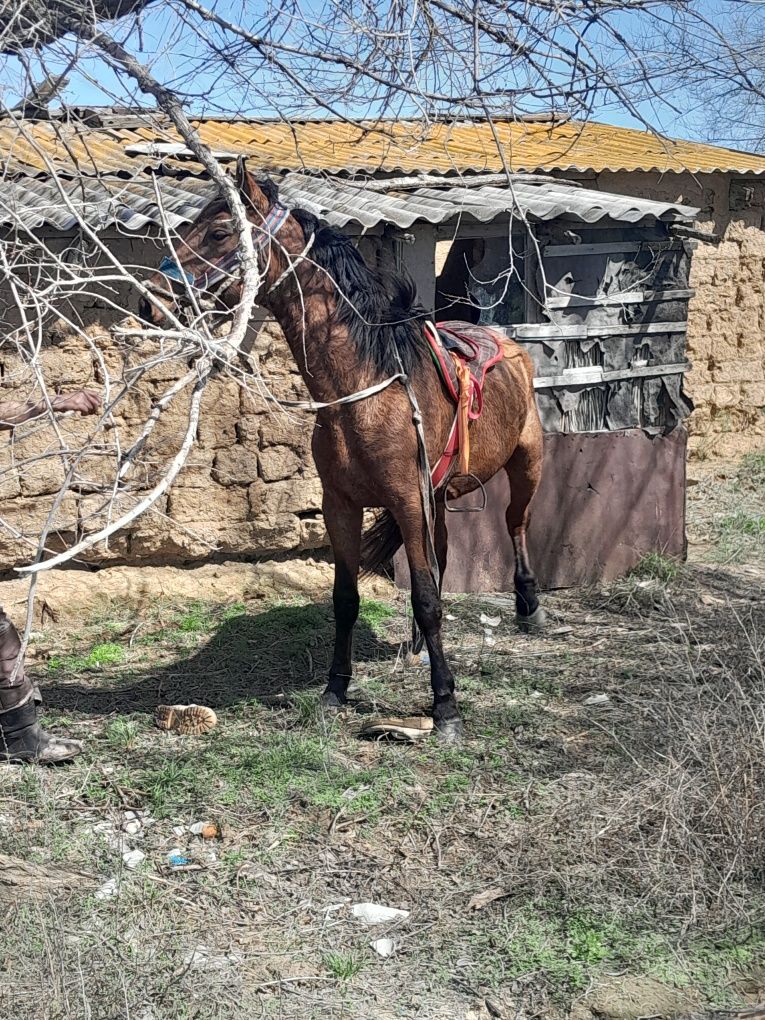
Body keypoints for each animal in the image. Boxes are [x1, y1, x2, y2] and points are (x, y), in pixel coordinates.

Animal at [139, 167, 546, 742]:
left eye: (220, 232)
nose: (150, 301)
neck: (366, 388)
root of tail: (508, 345)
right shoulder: (344, 505)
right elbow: (348, 597)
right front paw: (335, 690)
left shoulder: (407, 501)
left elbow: (424, 596)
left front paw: (445, 705)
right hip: (439, 496)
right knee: (443, 555)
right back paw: (418, 645)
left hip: (525, 464)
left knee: (516, 523)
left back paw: (529, 607)